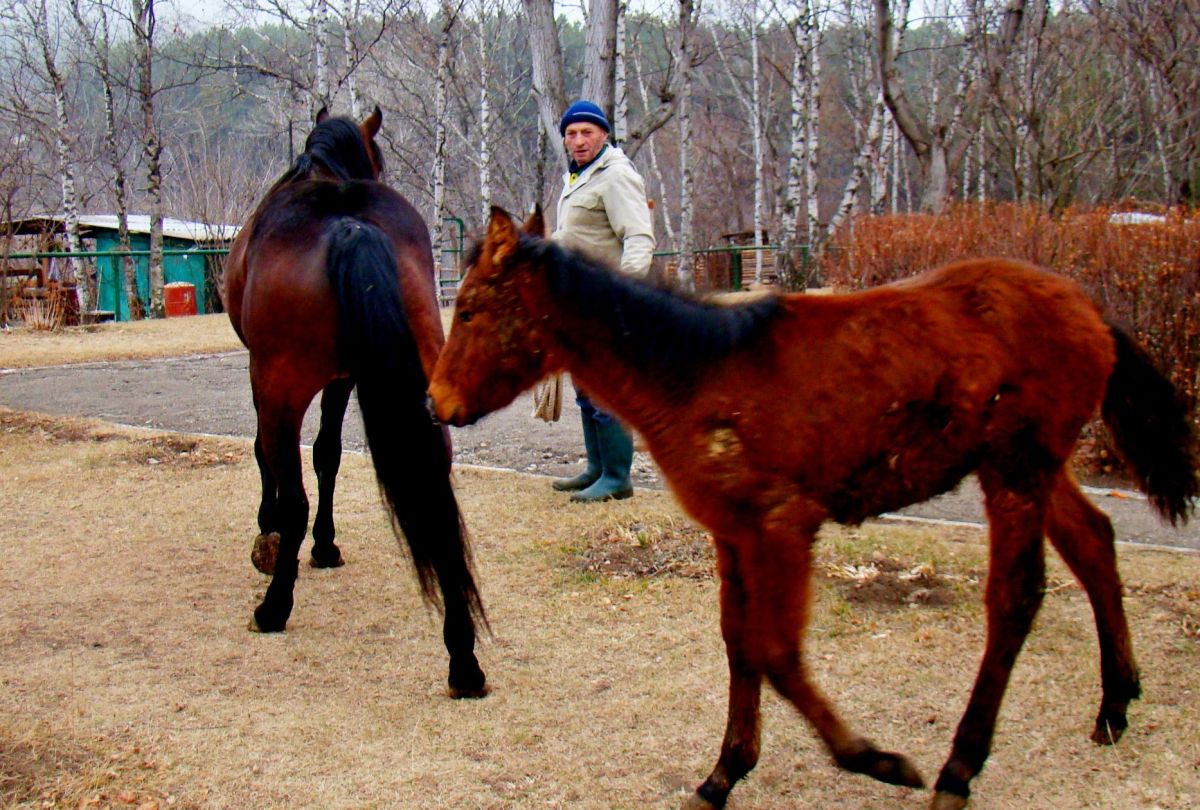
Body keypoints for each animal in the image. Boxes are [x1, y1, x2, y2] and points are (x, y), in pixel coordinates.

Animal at [223, 111, 484, 700]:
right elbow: (330, 454)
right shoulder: (343, 382)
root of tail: (349, 224)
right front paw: (326, 547)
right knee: (432, 489)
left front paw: (271, 533)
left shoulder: (262, 377)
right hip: (423, 391)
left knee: (292, 492)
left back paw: (273, 607)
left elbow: (270, 457)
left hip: (280, 387)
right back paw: (463, 659)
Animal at [432, 207, 1200, 806]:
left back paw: (958, 769)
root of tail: (1088, 304)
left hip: (1016, 470)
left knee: (1014, 599)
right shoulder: (732, 534)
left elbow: (776, 653)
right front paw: (723, 774)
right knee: (1095, 543)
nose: (435, 401)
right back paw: (1115, 704)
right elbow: (739, 643)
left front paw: (874, 759)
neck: (697, 373)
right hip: (1030, 467)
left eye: (468, 309)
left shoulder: (784, 526)